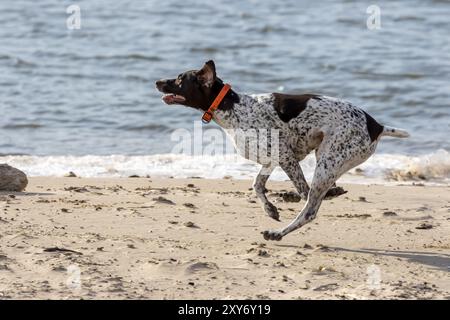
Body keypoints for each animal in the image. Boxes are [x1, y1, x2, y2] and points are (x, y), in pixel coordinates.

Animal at [156, 60, 412, 241]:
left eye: (179, 78)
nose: (157, 81)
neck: (234, 107)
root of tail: (376, 125)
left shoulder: (285, 157)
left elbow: (301, 190)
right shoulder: (271, 160)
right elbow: (257, 186)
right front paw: (270, 209)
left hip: (327, 163)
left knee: (310, 208)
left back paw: (278, 233)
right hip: (327, 159)